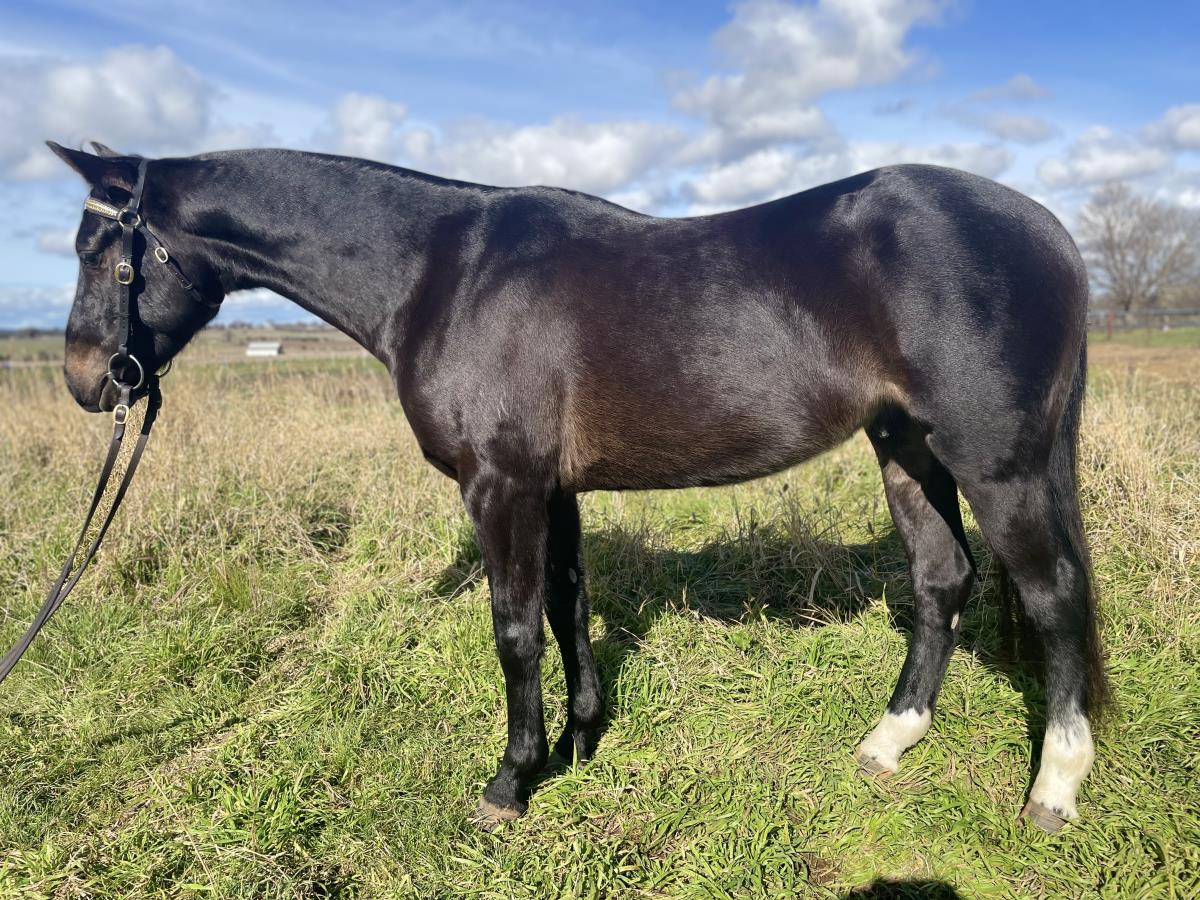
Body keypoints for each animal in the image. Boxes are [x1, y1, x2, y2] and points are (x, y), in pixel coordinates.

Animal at [46, 141, 1108, 832]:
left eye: (100, 252)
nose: (87, 380)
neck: (442, 273)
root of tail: (1051, 230)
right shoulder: (551, 490)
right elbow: (567, 607)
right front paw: (582, 743)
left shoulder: (500, 486)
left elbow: (515, 629)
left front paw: (510, 783)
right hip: (904, 448)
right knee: (941, 579)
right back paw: (889, 742)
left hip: (995, 462)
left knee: (1054, 596)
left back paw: (1054, 787)